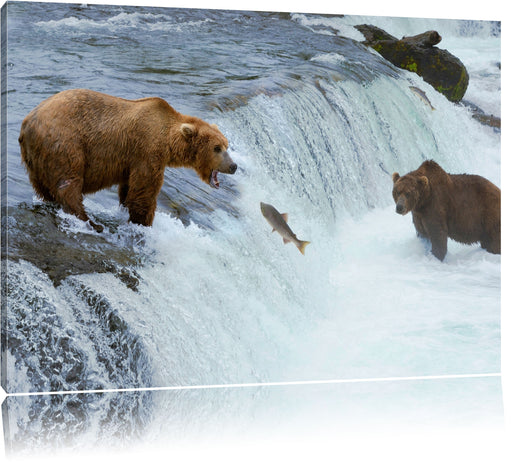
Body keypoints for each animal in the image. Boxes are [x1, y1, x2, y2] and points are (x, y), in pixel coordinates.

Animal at [17, 87, 238, 231]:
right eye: (217, 148)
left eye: (226, 145)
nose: (233, 166)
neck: (168, 140)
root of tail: (27, 122)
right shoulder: (147, 150)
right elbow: (145, 191)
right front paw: (144, 222)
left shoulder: (130, 161)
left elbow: (128, 188)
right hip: (65, 142)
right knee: (69, 183)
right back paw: (90, 221)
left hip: (35, 159)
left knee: (43, 187)